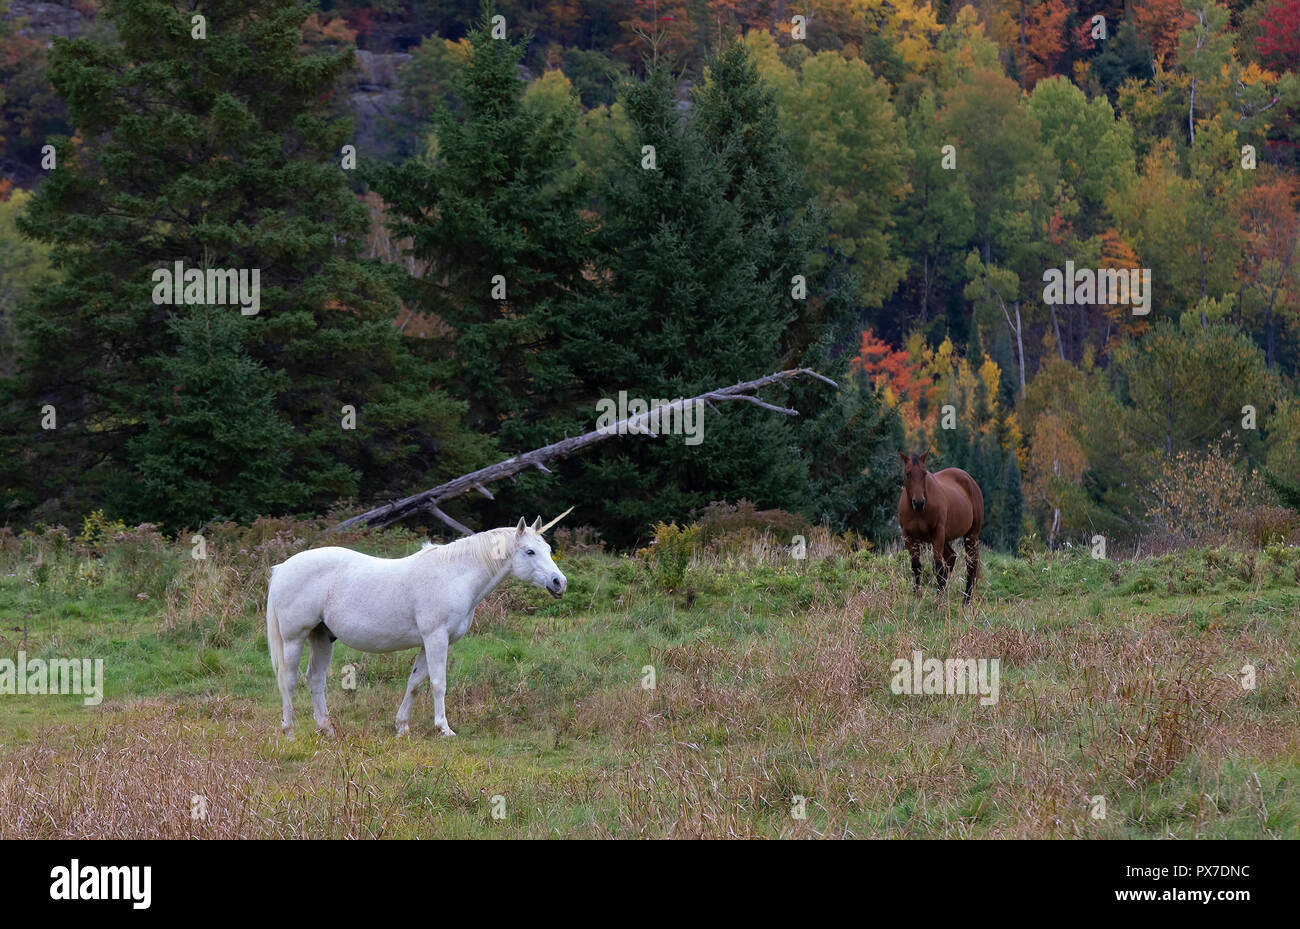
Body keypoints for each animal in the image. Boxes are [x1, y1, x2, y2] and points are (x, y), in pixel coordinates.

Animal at [266, 517, 566, 743]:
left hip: (322, 636)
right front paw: (444, 728)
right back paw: (289, 732)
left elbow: (415, 683)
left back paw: (327, 729)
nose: (559, 582)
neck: (453, 575)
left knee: (315, 680)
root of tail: (282, 568)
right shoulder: (436, 638)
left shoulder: (428, 642)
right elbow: (438, 683)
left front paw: (402, 727)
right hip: (294, 638)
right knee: (288, 681)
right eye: (530, 552)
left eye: (548, 549)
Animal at [894, 454, 982, 608]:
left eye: (924, 473)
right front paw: (917, 597)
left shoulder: (937, 534)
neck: (919, 512)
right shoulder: (909, 537)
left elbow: (937, 567)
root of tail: (970, 481)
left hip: (971, 535)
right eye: (908, 473)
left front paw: (936, 601)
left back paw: (965, 601)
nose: (919, 502)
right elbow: (916, 566)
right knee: (951, 557)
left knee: (971, 565)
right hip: (946, 538)